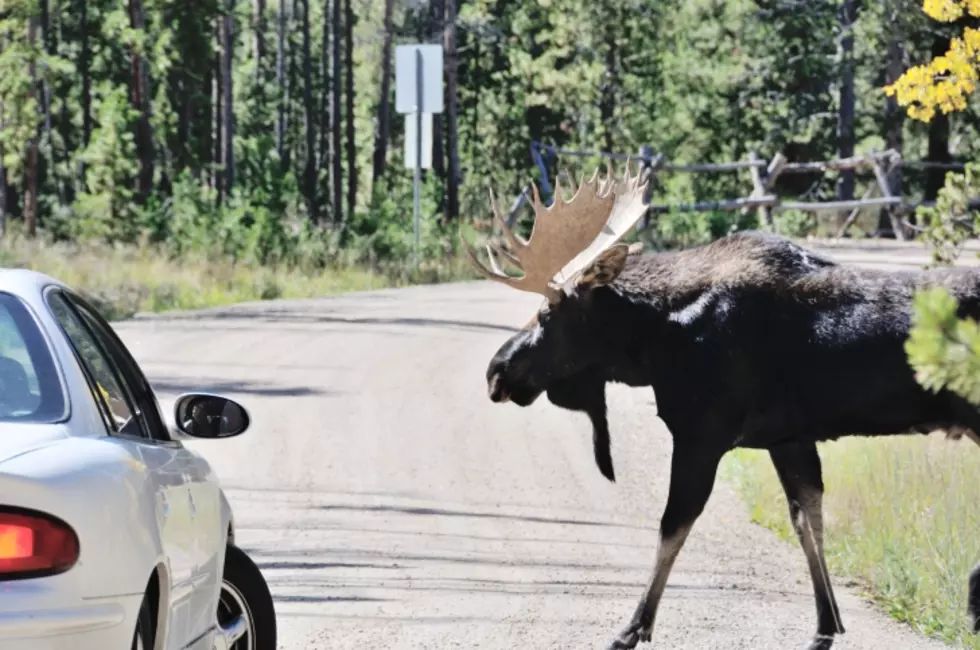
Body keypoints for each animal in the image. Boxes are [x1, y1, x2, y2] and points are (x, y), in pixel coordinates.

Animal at [464, 162, 980, 648]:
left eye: (547, 314)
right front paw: (826, 626)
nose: (496, 371)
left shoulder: (702, 433)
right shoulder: (787, 438)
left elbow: (672, 527)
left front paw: (632, 627)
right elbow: (807, 520)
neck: (653, 342)